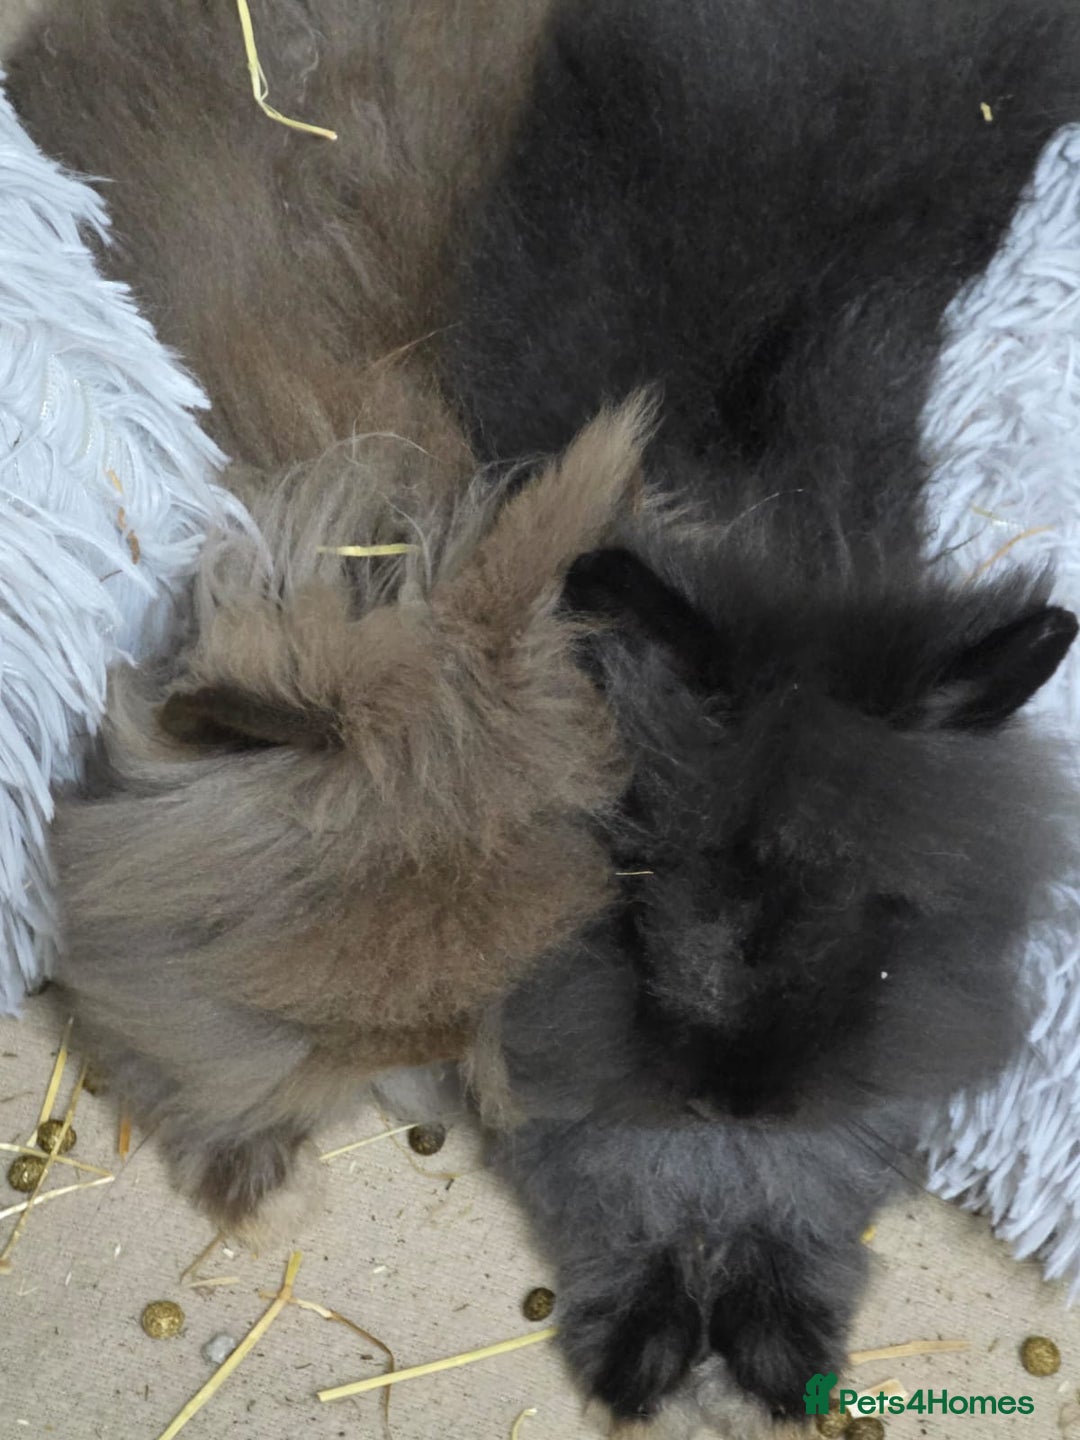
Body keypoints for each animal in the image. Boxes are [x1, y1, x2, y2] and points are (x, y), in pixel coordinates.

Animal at [446, 0, 1080, 1427]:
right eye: (666, 865)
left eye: (882, 906)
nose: (743, 1095)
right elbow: (612, 1172)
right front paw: (639, 1348)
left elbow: (816, 1179)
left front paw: (782, 1340)